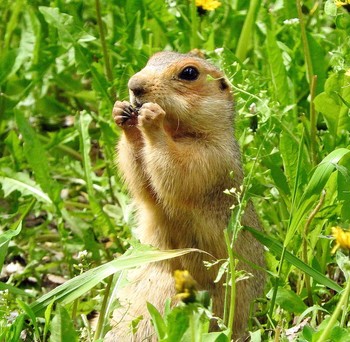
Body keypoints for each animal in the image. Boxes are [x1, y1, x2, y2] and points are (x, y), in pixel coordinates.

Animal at [106, 52, 266, 340]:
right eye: (153, 57)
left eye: (189, 73)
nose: (134, 85)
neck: (178, 132)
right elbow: (143, 182)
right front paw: (122, 113)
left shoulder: (210, 156)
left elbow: (177, 169)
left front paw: (151, 120)